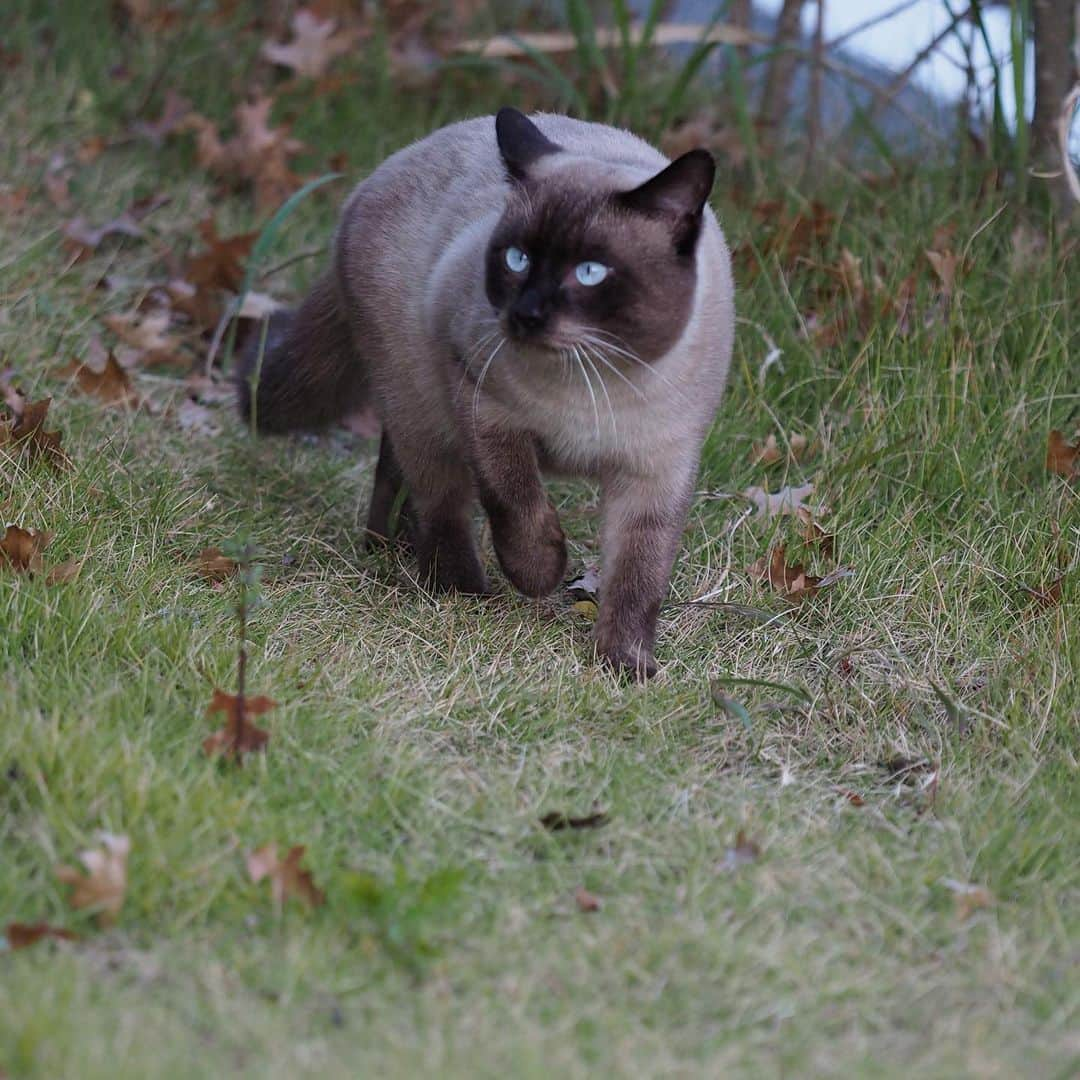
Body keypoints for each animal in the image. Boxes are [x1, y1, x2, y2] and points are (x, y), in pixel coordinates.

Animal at [238, 111, 734, 682]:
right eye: (517, 259)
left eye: (590, 271)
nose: (526, 314)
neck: (594, 383)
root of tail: (375, 177)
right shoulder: (482, 404)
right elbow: (517, 501)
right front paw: (541, 576)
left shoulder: (656, 474)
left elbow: (639, 577)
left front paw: (626, 666)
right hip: (419, 395)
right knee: (438, 493)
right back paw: (457, 591)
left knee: (396, 470)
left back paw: (391, 550)